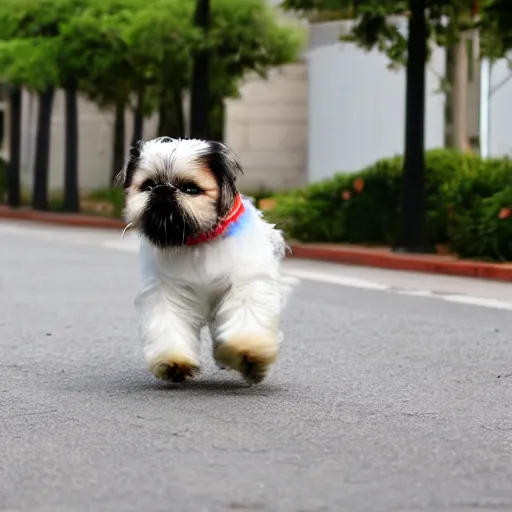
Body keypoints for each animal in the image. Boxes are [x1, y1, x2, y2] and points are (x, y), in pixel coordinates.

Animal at [116, 136, 292, 384]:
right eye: (148, 185)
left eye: (191, 189)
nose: (162, 190)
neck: (198, 240)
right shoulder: (169, 293)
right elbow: (170, 328)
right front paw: (174, 363)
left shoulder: (246, 285)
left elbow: (246, 320)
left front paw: (249, 354)